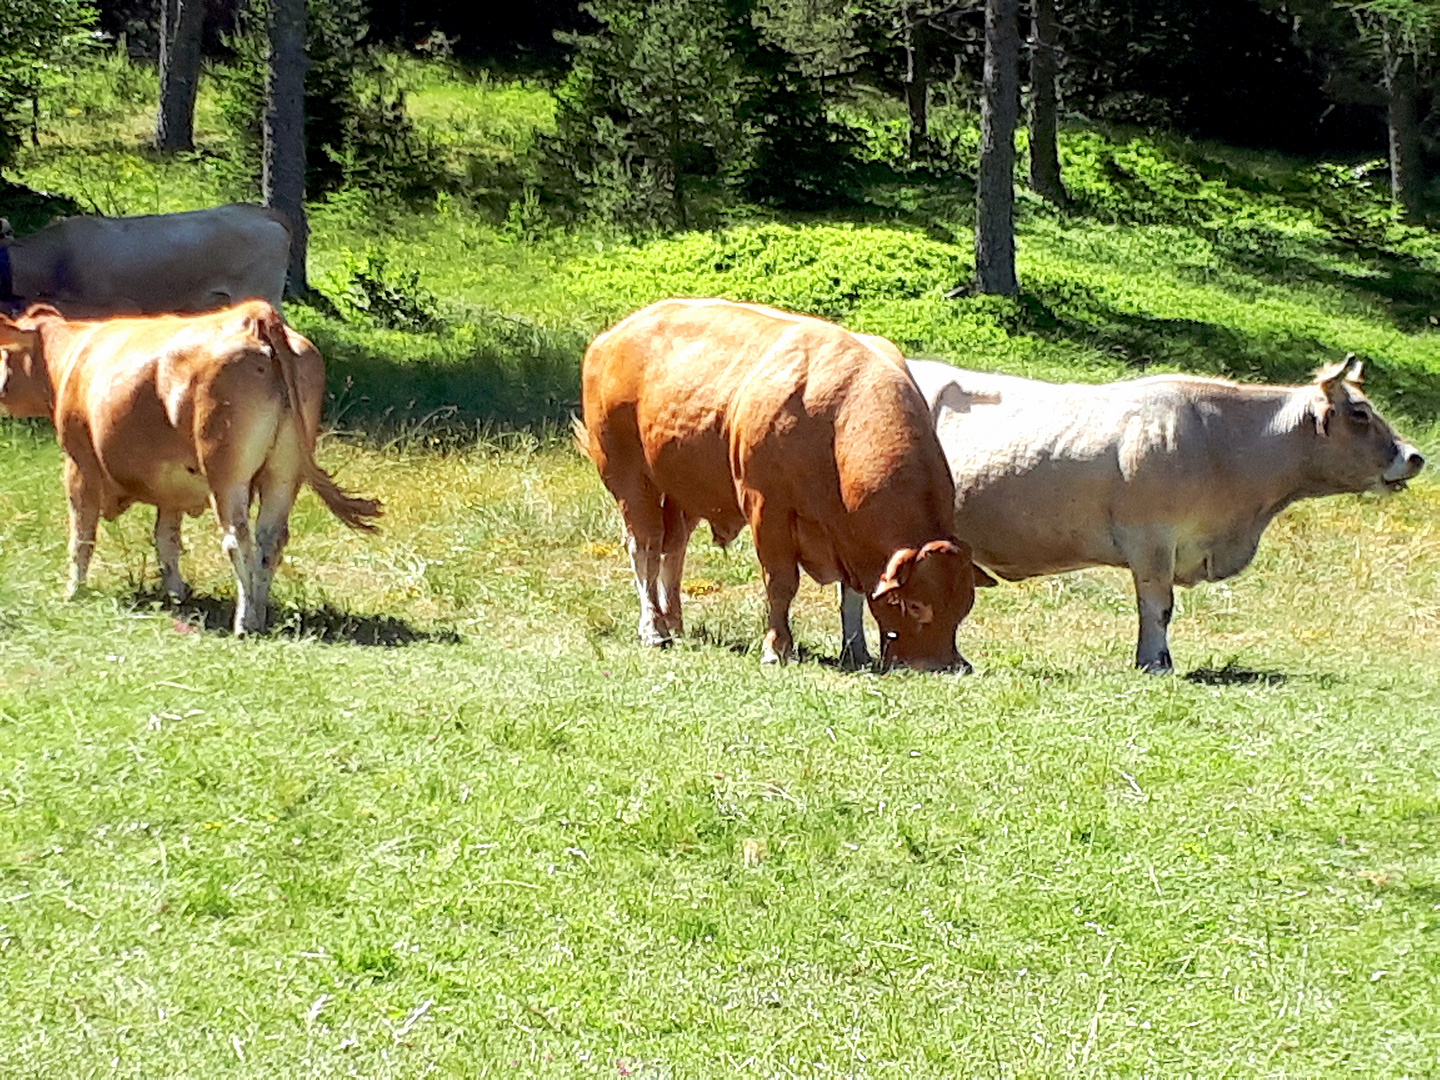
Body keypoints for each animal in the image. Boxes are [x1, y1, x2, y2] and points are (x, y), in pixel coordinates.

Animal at [0, 298, 383, 633]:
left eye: (5, 353)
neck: (72, 356)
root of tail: (254, 314)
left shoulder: (79, 465)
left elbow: (82, 535)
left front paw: (73, 591)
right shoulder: (170, 487)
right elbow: (166, 538)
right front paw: (176, 592)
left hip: (228, 476)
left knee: (238, 539)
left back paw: (244, 622)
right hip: (284, 474)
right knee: (270, 541)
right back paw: (260, 614)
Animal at [573, 300, 990, 673]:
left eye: (964, 606)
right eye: (916, 605)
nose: (944, 665)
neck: (836, 421)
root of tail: (611, 337)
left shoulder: (849, 537)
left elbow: (852, 594)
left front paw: (856, 650)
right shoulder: (767, 507)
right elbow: (781, 583)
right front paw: (777, 648)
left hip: (683, 489)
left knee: (673, 548)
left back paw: (672, 620)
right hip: (629, 478)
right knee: (644, 547)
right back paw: (653, 628)